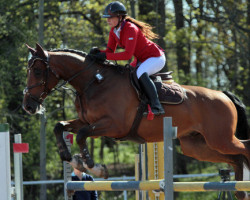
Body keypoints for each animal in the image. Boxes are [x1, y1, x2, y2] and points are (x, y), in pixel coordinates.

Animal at [22, 43, 250, 198]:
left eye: (38, 71)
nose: (28, 106)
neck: (94, 82)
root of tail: (223, 94)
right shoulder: (86, 120)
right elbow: (60, 126)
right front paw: (67, 155)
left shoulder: (114, 126)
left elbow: (81, 135)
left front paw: (93, 166)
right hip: (197, 146)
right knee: (236, 158)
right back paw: (240, 191)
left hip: (220, 138)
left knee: (244, 149)